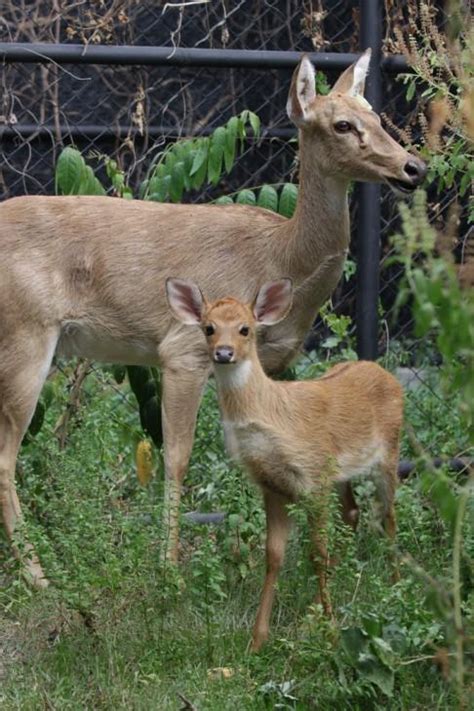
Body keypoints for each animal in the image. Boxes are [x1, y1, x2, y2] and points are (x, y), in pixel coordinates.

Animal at [0, 48, 424, 584]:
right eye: (343, 124)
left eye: (376, 115)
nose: (414, 167)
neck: (279, 257)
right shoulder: (181, 351)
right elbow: (177, 460)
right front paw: (171, 572)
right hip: (26, 334)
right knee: (5, 459)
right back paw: (39, 577)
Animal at [165, 278, 402, 652]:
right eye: (209, 328)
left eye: (245, 329)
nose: (224, 353)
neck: (272, 414)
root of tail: (384, 373)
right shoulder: (273, 486)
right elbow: (273, 556)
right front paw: (258, 639)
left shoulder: (312, 477)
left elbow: (316, 552)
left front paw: (331, 631)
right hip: (340, 473)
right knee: (353, 512)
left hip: (389, 453)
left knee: (388, 515)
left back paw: (395, 585)